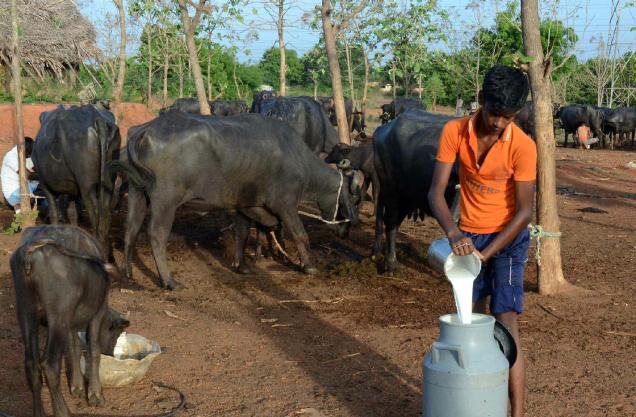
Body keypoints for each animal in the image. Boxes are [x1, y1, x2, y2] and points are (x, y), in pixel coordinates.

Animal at [11, 225, 130, 417]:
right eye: (117, 334)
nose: (112, 353)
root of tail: (31, 250)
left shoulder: (71, 323)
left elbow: (74, 347)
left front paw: (77, 387)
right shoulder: (98, 312)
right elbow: (93, 349)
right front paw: (95, 394)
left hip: (26, 311)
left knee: (32, 364)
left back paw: (39, 412)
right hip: (58, 317)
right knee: (49, 364)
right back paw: (63, 411)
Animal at [32, 104, 121, 258]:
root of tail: (97, 119)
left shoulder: (45, 185)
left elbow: (54, 213)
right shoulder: (73, 191)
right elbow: (72, 213)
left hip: (87, 187)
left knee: (95, 213)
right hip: (108, 182)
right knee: (105, 212)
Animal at [109, 111, 360, 290]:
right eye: (351, 198)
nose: (348, 229)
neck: (298, 159)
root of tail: (144, 131)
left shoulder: (245, 205)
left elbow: (242, 233)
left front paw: (243, 266)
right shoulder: (286, 205)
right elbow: (300, 234)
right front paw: (309, 267)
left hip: (137, 192)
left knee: (131, 230)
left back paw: (129, 276)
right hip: (166, 200)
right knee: (156, 234)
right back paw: (169, 281)